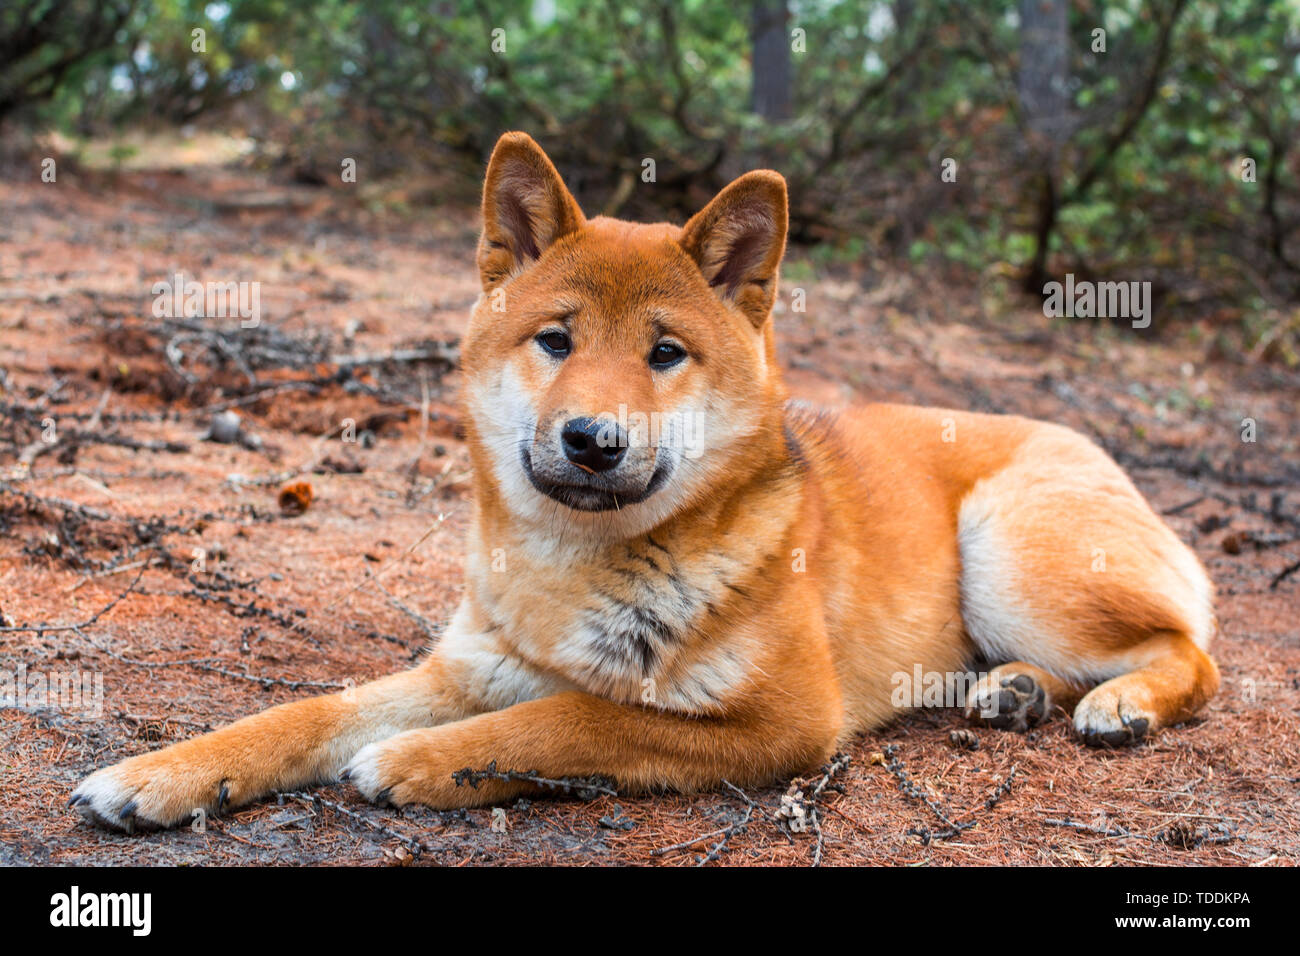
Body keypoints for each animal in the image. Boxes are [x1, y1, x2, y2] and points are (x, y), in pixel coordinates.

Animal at [71, 132, 1216, 832]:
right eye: (555, 339)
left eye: (666, 353)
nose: (591, 440)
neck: (575, 569)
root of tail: (1088, 442)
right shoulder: (470, 667)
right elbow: (300, 716)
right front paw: (158, 773)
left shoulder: (784, 724)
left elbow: (571, 720)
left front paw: (417, 760)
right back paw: (1014, 689)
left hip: (1004, 554)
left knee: (1191, 654)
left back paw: (1118, 702)